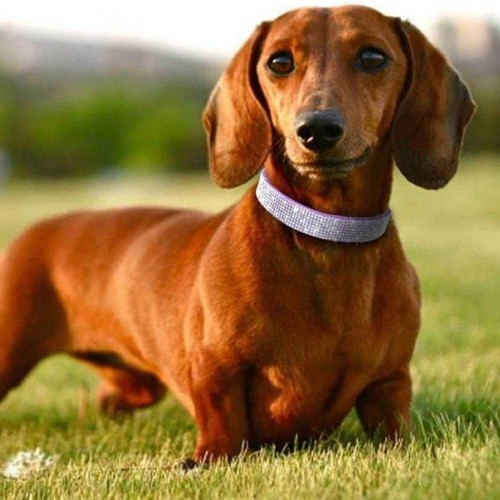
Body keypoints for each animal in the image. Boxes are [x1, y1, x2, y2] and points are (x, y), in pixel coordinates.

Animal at [0, 5, 474, 463]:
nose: (317, 129)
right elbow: (222, 432)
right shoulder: (214, 371)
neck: (329, 235)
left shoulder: (389, 382)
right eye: (279, 61)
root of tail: (37, 230)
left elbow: (396, 432)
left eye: (373, 57)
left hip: (137, 383)